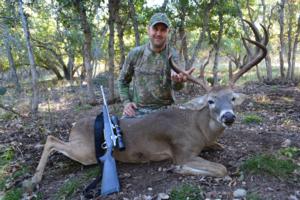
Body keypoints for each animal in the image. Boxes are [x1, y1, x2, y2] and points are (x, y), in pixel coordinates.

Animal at [27, 20, 268, 189]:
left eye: (232, 98)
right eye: (210, 101)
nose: (228, 117)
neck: (199, 129)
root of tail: (75, 125)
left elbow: (220, 148)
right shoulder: (182, 150)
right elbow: (221, 168)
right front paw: (178, 170)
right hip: (85, 151)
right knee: (51, 139)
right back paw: (33, 180)